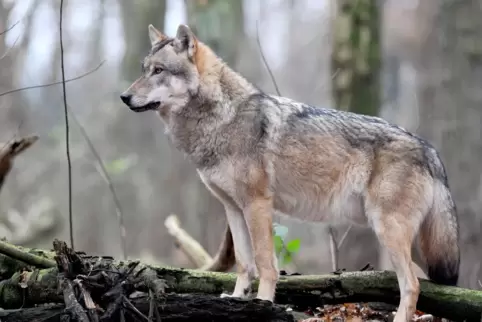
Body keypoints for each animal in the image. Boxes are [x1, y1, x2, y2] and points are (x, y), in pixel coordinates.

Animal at [119, 23, 460, 322]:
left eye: (159, 70)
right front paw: (237, 299)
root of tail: (431, 150)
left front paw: (263, 303)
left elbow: (264, 263)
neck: (220, 118)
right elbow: (244, 263)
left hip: (389, 230)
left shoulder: (258, 204)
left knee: (412, 285)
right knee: (421, 282)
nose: (124, 97)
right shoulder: (233, 208)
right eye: (144, 69)